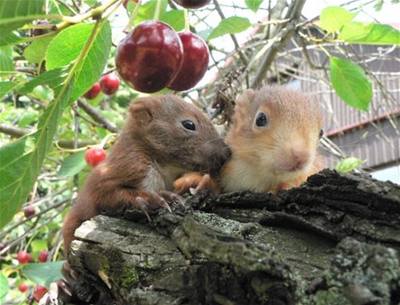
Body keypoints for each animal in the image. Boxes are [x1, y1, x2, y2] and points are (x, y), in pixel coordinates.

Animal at [63, 94, 231, 249]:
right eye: (189, 124)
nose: (226, 152)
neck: (167, 167)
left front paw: (202, 183)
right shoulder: (127, 166)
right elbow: (106, 194)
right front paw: (154, 198)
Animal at [174, 85, 322, 194]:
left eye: (321, 132)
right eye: (260, 119)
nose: (302, 157)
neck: (258, 173)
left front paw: (289, 185)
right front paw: (197, 179)